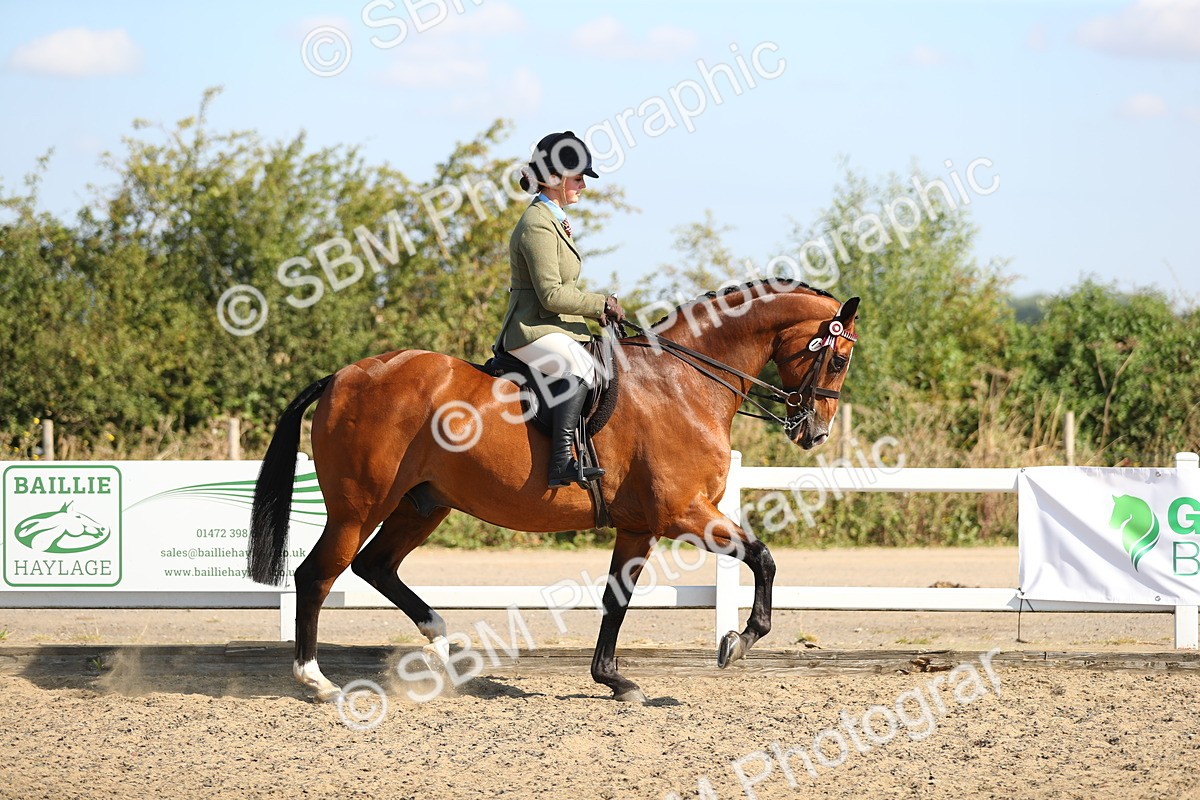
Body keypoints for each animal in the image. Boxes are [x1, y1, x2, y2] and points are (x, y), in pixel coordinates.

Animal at [247, 278, 860, 703]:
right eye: (839, 356)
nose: (814, 431)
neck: (683, 385)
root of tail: (343, 375)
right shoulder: (684, 512)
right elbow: (763, 557)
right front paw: (739, 640)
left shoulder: (640, 526)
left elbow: (616, 598)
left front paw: (614, 680)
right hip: (359, 507)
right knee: (317, 575)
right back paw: (317, 681)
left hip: (422, 505)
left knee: (375, 566)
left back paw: (446, 649)